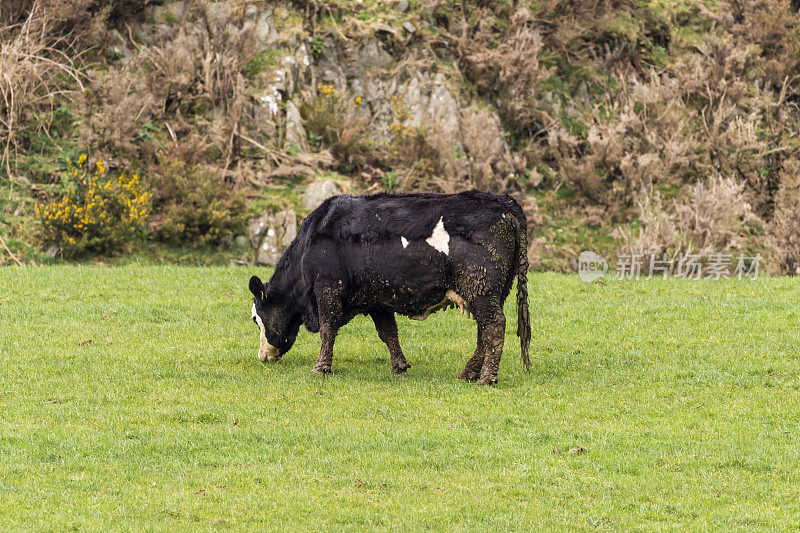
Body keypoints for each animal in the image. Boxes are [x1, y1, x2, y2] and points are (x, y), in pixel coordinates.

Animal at [247, 189, 528, 384]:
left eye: (255, 318)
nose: (262, 356)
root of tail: (502, 202)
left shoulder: (327, 288)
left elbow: (328, 329)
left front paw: (320, 367)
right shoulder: (376, 299)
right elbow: (388, 333)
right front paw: (400, 366)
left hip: (482, 289)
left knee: (494, 326)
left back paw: (486, 377)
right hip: (490, 292)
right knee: (485, 331)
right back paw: (468, 372)